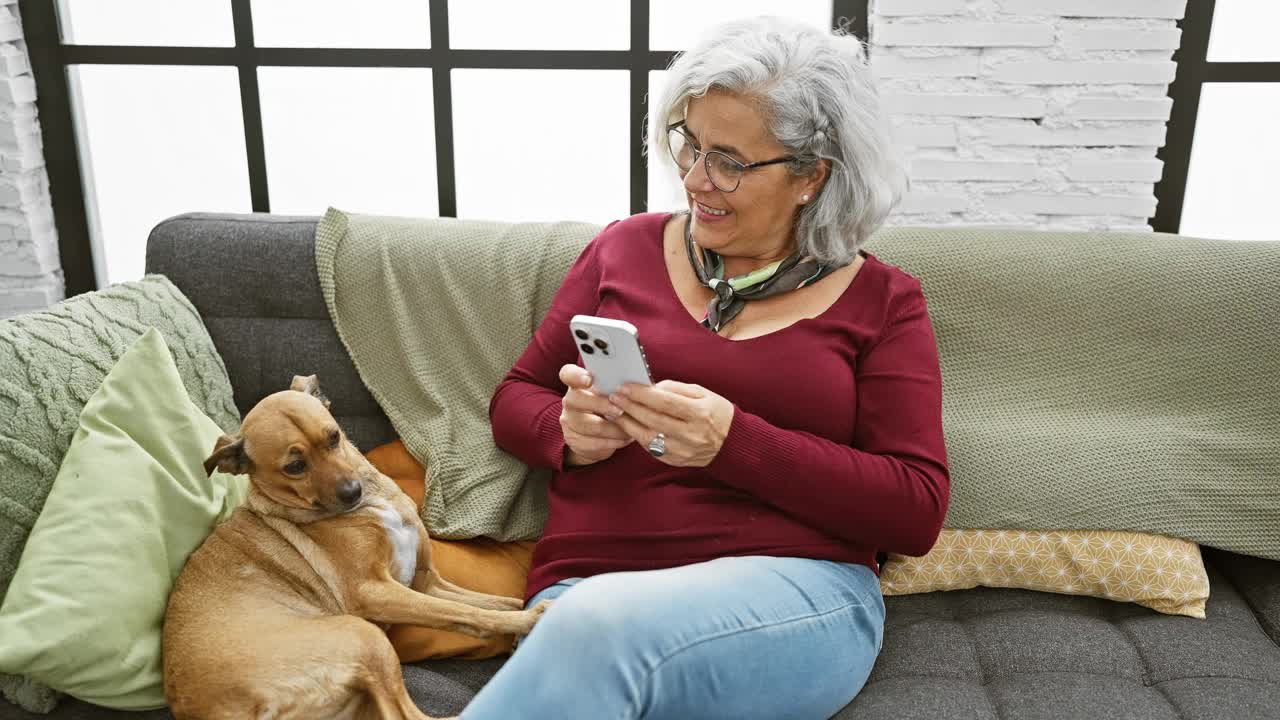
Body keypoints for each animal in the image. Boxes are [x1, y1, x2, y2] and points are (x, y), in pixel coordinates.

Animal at [161, 376, 545, 717]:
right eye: (295, 466)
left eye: (333, 437)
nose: (353, 492)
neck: (373, 504)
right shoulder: (374, 590)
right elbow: (465, 613)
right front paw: (530, 620)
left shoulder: (426, 581)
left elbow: (493, 603)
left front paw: (521, 613)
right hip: (364, 636)